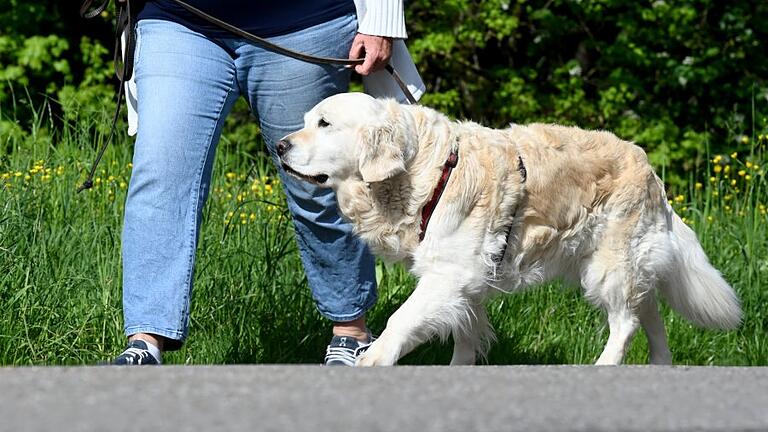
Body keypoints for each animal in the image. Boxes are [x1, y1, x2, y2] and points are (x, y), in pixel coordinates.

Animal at [280, 93, 740, 366]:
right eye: (306, 120)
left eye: (324, 124)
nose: (280, 146)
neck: (422, 171)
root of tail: (648, 167)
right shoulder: (467, 285)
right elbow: (465, 338)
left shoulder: (449, 275)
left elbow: (400, 319)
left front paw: (373, 359)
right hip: (626, 266)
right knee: (650, 315)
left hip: (610, 265)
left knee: (627, 322)